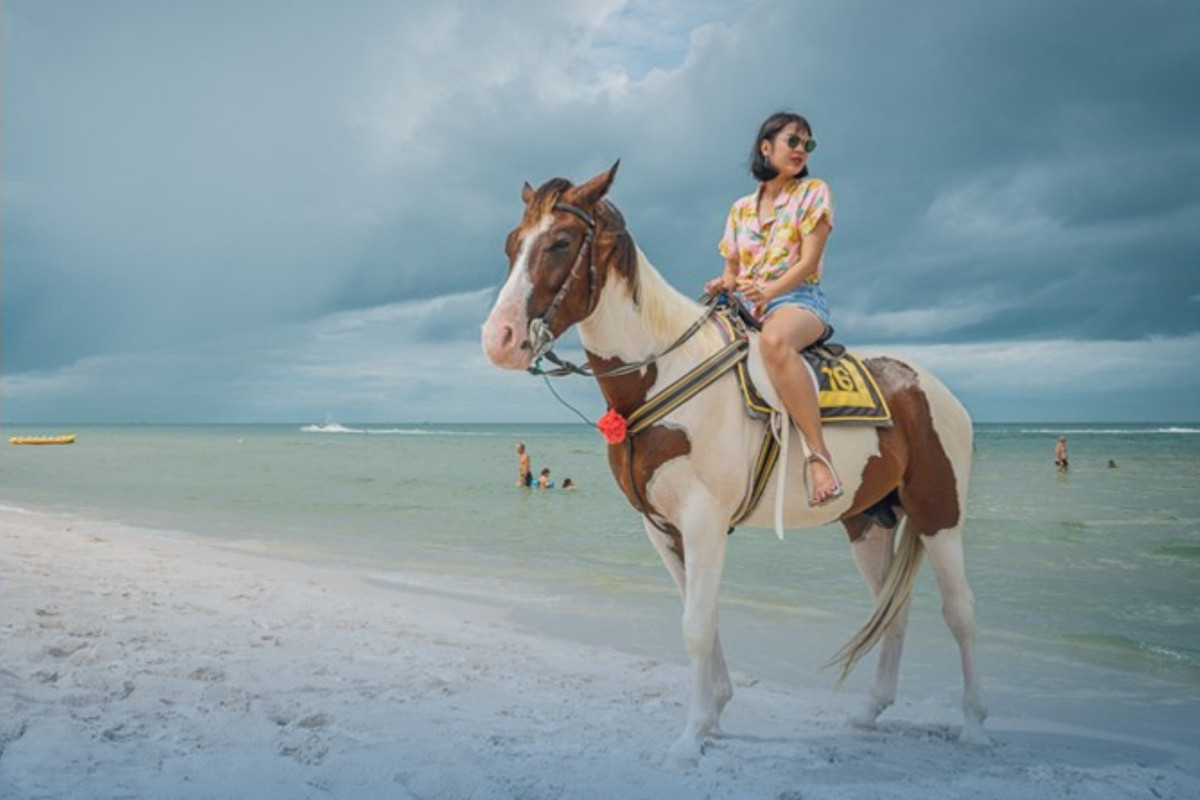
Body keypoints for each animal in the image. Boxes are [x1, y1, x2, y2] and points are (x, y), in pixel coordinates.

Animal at [481, 163, 987, 766]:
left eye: (560, 242)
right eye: (512, 244)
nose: (498, 339)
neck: (669, 370)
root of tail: (929, 386)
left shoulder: (703, 521)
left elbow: (696, 624)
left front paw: (691, 735)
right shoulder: (663, 528)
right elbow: (701, 614)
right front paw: (715, 712)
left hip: (939, 510)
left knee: (960, 612)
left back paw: (973, 724)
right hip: (868, 520)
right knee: (893, 607)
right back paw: (870, 711)